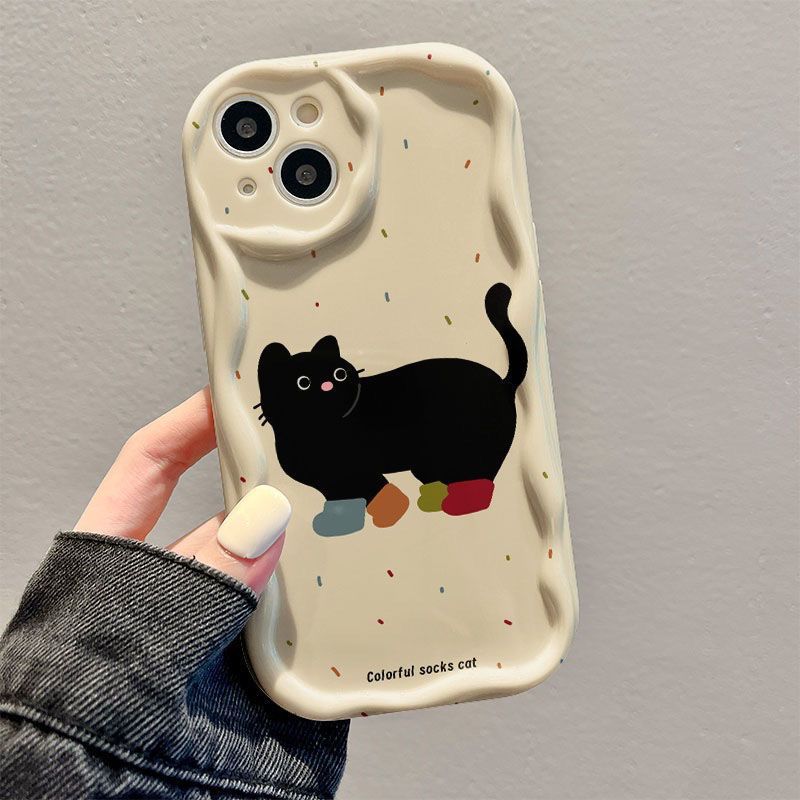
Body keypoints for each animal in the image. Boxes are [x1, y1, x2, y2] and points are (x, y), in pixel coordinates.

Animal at [254, 282, 527, 536]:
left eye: (341, 373)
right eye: (303, 383)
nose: (328, 385)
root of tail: (504, 383)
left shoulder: (355, 469)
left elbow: (378, 491)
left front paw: (387, 514)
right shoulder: (333, 482)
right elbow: (345, 502)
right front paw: (339, 521)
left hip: (473, 451)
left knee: (480, 482)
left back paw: (459, 504)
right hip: (430, 460)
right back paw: (433, 500)